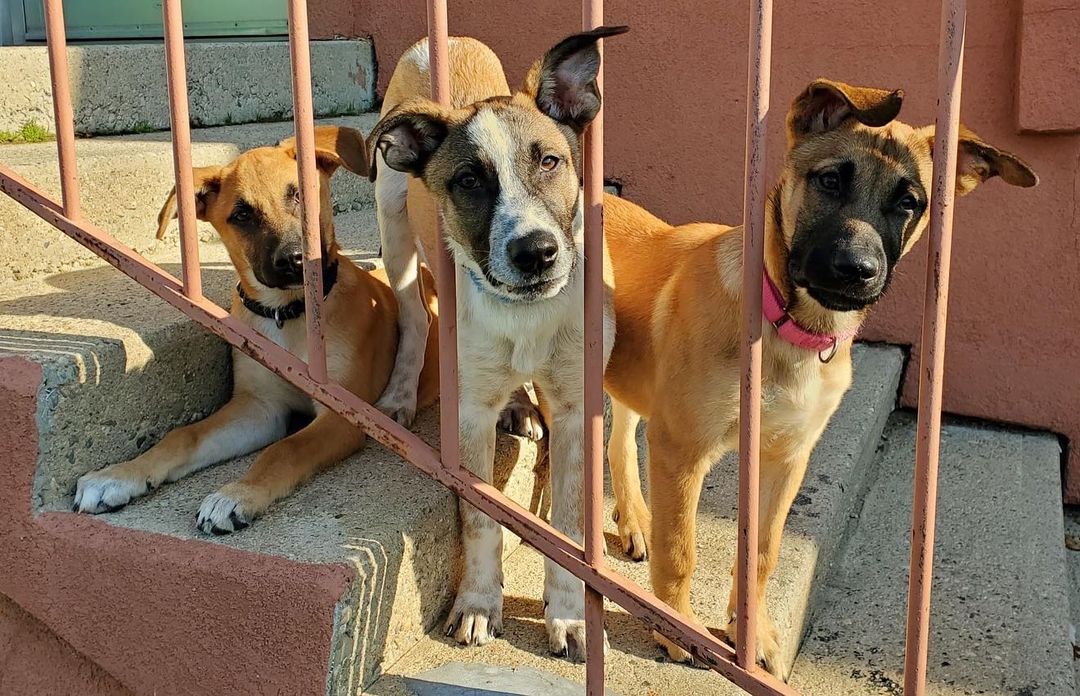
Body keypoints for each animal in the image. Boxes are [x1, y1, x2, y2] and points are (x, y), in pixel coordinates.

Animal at [73, 126, 440, 533]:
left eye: (298, 194)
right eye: (242, 215)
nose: (294, 260)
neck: (288, 314)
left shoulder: (343, 415)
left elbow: (285, 449)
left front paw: (235, 495)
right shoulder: (259, 408)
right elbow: (184, 435)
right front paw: (119, 475)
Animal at [369, 28, 630, 657]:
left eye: (550, 161)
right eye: (468, 181)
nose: (536, 252)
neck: (526, 314)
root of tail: (444, 39)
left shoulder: (578, 409)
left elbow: (570, 523)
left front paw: (571, 614)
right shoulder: (468, 416)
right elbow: (481, 518)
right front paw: (478, 604)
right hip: (392, 222)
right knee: (414, 318)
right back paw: (402, 395)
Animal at [609, 78, 1036, 678]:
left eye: (910, 203)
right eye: (830, 180)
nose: (856, 271)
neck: (788, 327)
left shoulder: (787, 458)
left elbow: (763, 554)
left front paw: (753, 632)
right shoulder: (683, 451)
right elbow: (680, 549)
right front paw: (675, 628)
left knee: (619, 441)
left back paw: (632, 519)